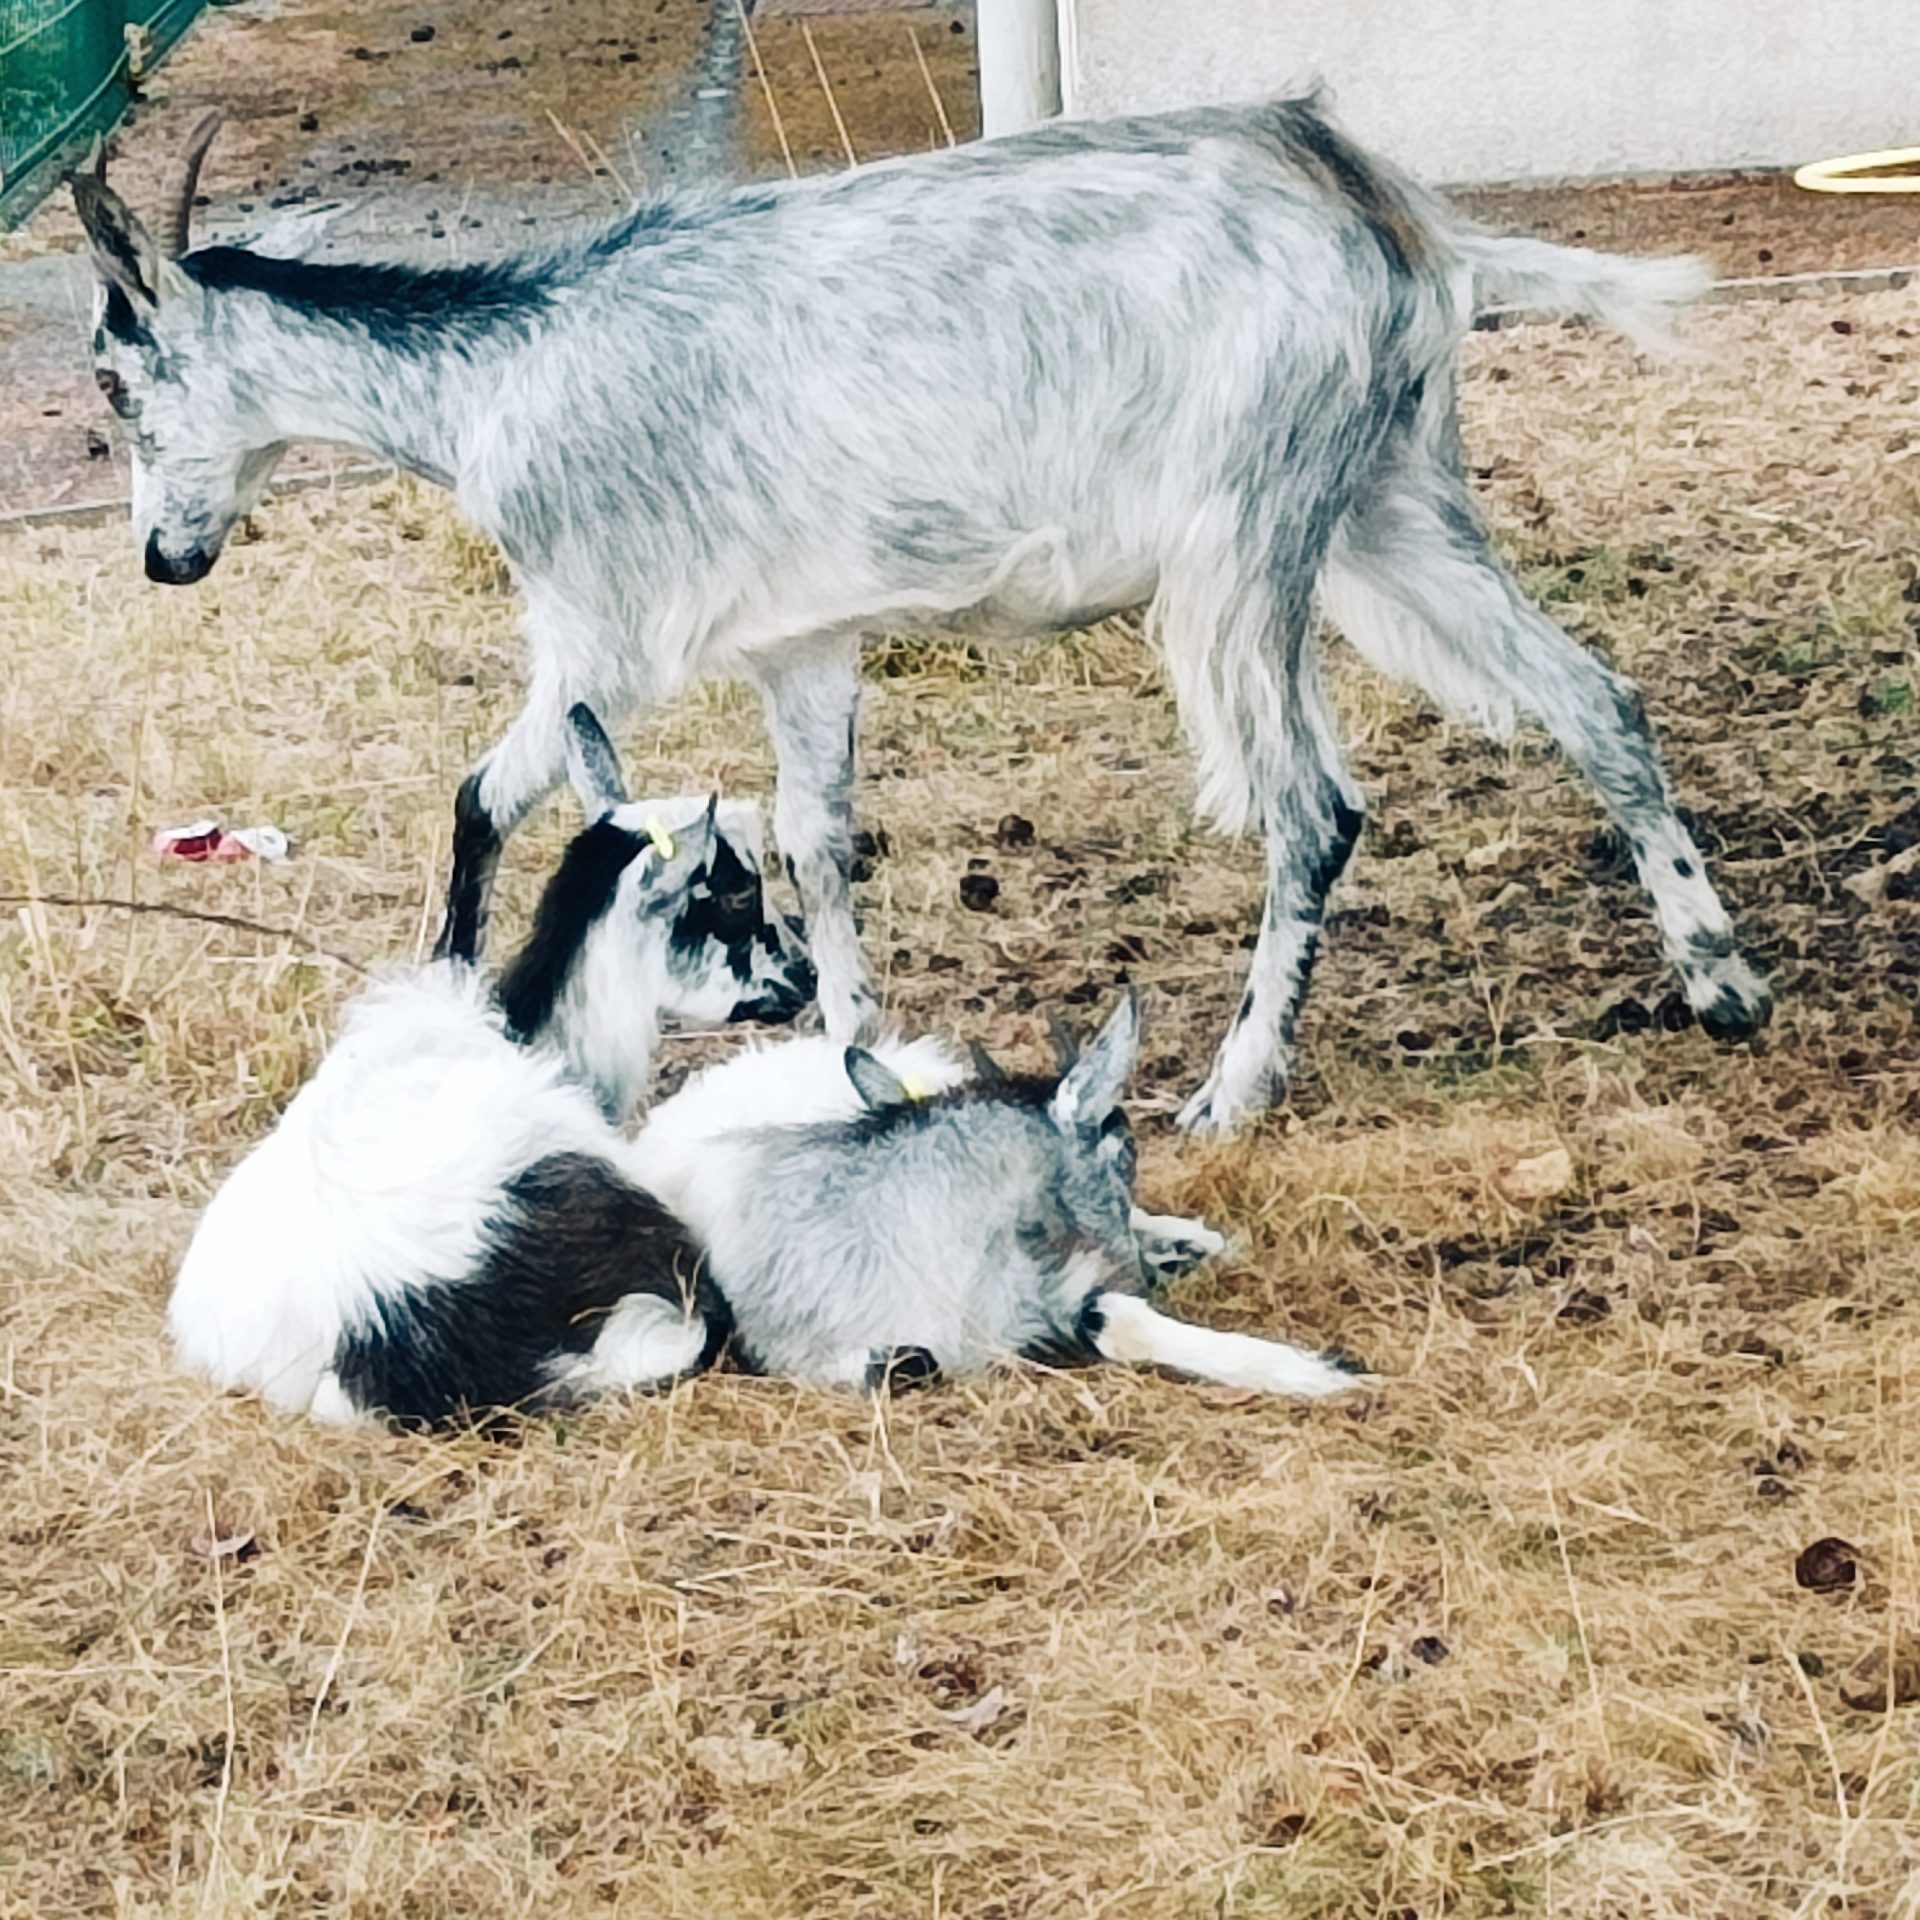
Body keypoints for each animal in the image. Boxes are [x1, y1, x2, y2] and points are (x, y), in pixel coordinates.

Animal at [67, 97, 1766, 1128]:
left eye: (111, 376)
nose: (164, 560)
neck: (497, 380)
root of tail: (1384, 207)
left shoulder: (602, 629)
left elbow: (482, 795)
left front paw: (469, 1019)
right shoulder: (799, 639)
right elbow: (818, 841)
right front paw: (846, 1046)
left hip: (1247, 535)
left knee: (1316, 805)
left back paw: (1236, 1087)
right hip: (1389, 503)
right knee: (1593, 697)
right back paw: (1721, 982)